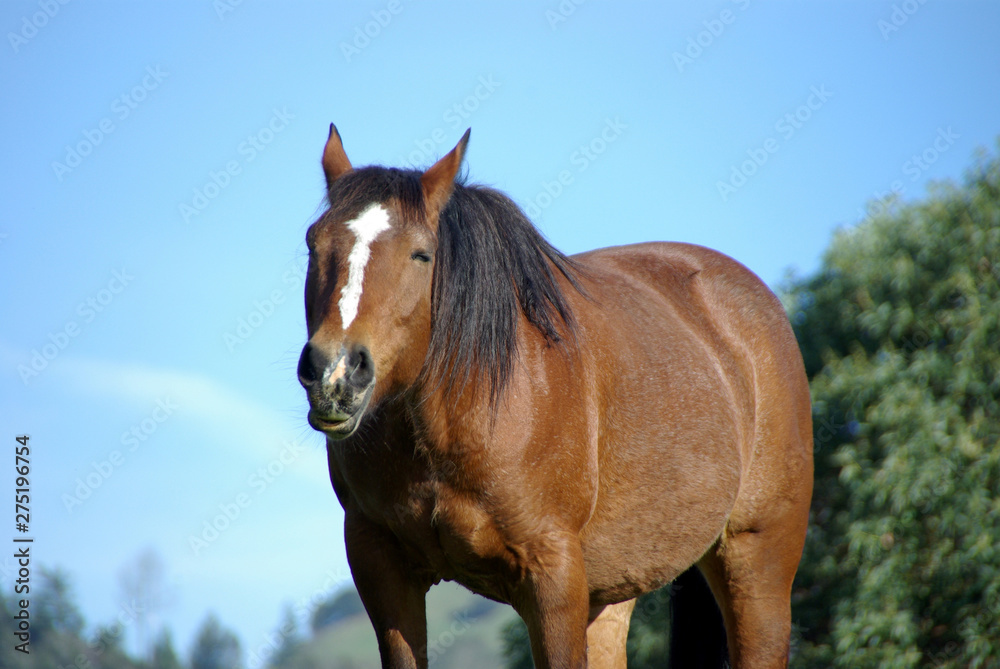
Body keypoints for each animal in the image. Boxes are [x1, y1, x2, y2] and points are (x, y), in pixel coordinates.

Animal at [296, 124, 813, 669]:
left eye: (421, 254)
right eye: (313, 245)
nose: (335, 373)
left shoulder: (553, 574)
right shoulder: (381, 567)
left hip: (755, 565)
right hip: (610, 593)